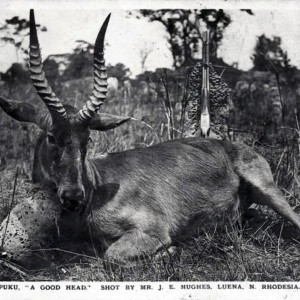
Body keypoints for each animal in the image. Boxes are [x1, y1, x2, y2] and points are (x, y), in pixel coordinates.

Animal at [0, 8, 300, 264]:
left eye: (87, 140)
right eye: (51, 136)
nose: (74, 195)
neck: (97, 188)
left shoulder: (151, 230)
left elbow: (112, 255)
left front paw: (171, 251)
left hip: (269, 190)